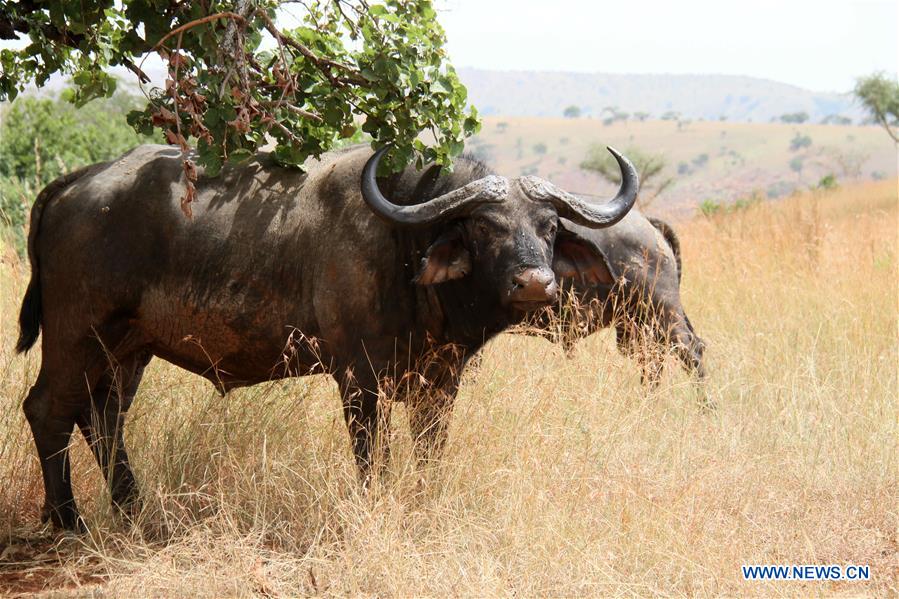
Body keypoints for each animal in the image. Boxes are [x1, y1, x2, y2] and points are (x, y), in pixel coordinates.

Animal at [14, 143, 640, 528]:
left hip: (127, 351)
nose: (535, 283)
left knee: (103, 419)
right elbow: (372, 458)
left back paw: (133, 509)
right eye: (485, 228)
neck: (403, 247)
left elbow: (429, 454)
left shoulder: (439, 383)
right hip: (76, 336)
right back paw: (68, 519)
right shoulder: (359, 380)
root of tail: (77, 183)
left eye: (549, 227)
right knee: (47, 409)